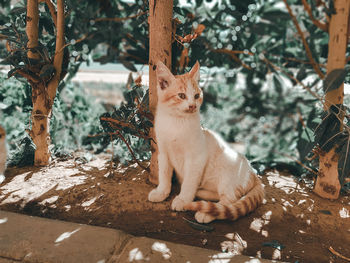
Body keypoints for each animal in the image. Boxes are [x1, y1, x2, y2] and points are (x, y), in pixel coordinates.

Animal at [146, 60, 264, 224]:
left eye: (196, 96)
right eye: (181, 95)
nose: (192, 106)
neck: (176, 122)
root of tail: (253, 173)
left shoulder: (196, 158)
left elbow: (189, 182)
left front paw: (183, 200)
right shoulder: (163, 153)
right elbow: (164, 175)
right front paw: (162, 192)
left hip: (227, 173)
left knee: (230, 200)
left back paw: (206, 212)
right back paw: (201, 194)